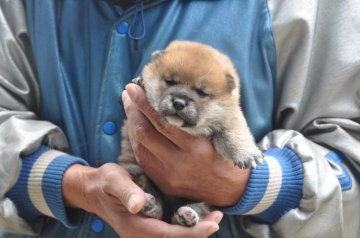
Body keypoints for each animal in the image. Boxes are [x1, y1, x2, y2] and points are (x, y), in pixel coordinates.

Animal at [119, 41, 262, 227]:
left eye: (201, 92)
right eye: (170, 82)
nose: (179, 102)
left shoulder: (230, 118)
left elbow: (234, 132)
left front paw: (247, 154)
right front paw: (141, 81)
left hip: (206, 194)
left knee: (195, 209)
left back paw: (186, 215)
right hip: (138, 172)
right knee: (150, 195)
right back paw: (150, 204)